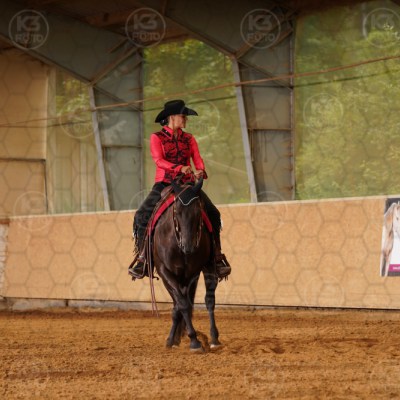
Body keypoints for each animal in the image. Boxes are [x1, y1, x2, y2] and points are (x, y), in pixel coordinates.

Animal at [152, 176, 221, 352]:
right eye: (176, 210)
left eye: (198, 211)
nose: (188, 246)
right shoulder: (164, 271)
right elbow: (181, 304)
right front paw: (191, 340)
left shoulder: (193, 272)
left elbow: (186, 304)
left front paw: (194, 339)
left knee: (206, 300)